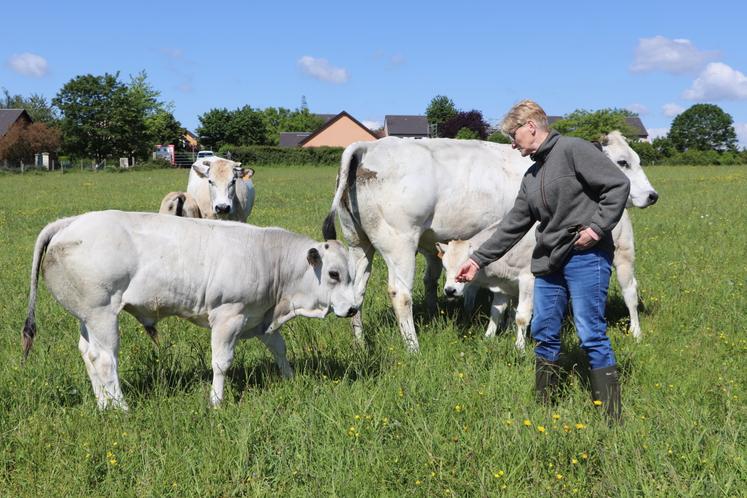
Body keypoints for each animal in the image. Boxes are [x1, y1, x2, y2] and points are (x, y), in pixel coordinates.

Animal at [22, 211, 357, 410]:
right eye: (334, 274)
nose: (354, 308)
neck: (268, 256)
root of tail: (71, 222)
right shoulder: (228, 316)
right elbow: (221, 363)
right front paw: (216, 401)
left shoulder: (257, 318)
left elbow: (279, 348)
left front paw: (289, 378)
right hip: (102, 315)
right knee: (104, 360)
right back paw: (122, 408)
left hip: (87, 318)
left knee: (88, 354)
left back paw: (104, 404)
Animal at [438, 209, 642, 350]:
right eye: (445, 267)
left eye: (463, 267)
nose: (450, 290)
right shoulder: (504, 286)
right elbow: (497, 312)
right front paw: (489, 338)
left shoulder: (529, 280)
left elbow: (521, 316)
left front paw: (519, 347)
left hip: (624, 257)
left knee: (630, 293)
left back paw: (636, 332)